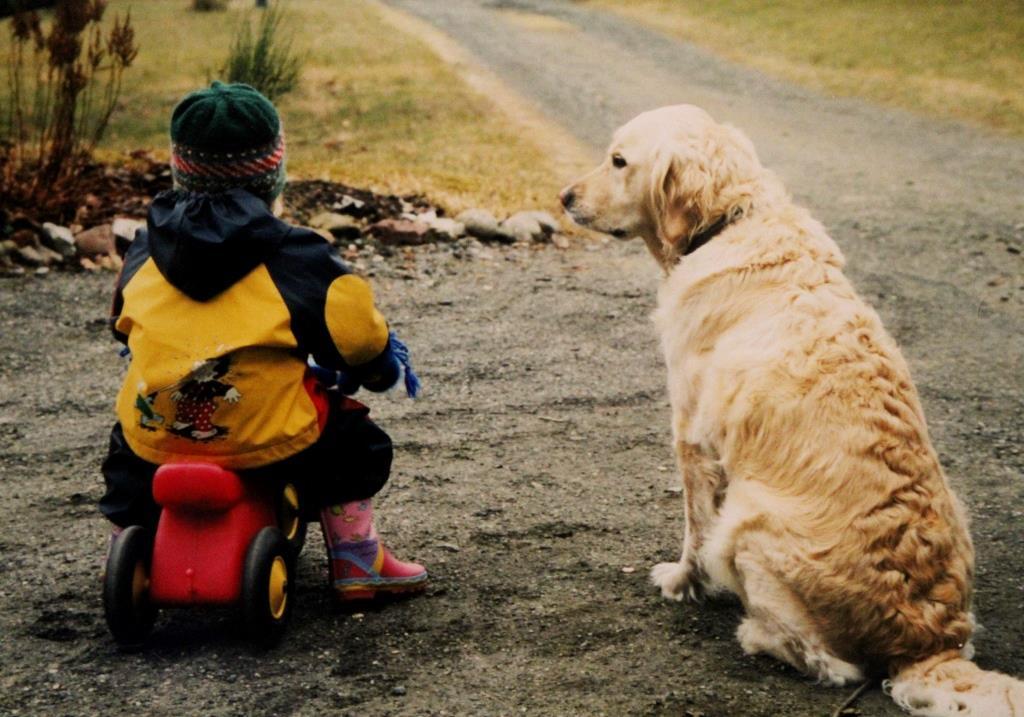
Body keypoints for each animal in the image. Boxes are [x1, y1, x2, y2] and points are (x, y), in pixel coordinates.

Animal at [561, 103, 1024, 712]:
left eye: (618, 161)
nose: (564, 197)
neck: (730, 222)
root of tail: (930, 646)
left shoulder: (691, 436)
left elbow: (693, 530)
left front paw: (681, 582)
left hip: (748, 524)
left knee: (830, 664)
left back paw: (755, 633)